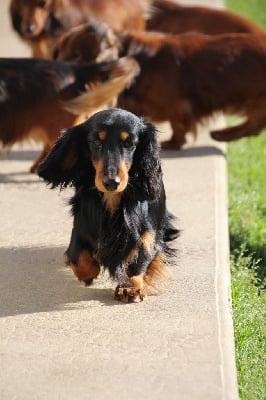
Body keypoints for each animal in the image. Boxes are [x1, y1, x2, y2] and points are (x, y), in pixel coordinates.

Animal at [38, 108, 179, 302]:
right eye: (96, 141)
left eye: (129, 143)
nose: (111, 182)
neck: (112, 199)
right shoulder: (81, 228)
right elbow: (78, 258)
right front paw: (88, 274)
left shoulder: (149, 233)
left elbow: (140, 256)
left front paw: (130, 287)